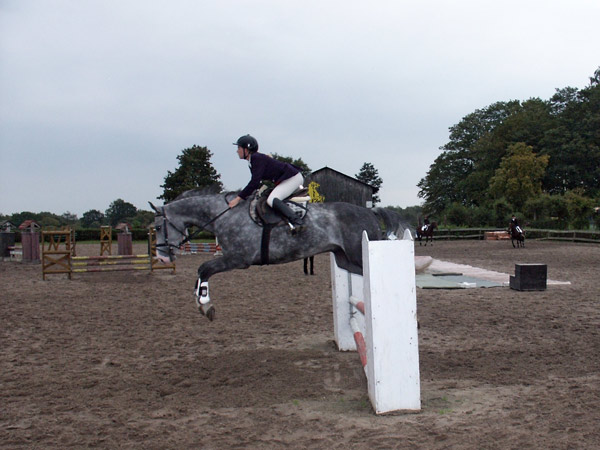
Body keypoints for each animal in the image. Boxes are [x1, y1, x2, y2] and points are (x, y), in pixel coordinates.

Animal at [150, 189, 408, 320]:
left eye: (159, 226)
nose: (162, 258)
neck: (223, 215)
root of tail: (370, 211)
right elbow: (200, 272)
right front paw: (200, 301)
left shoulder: (237, 259)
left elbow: (203, 268)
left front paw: (205, 305)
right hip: (346, 260)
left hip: (358, 255)